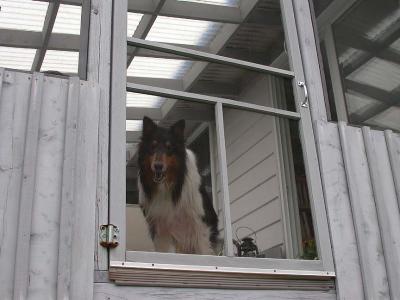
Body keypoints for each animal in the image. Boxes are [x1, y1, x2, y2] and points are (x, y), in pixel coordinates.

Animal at [138, 116, 219, 254]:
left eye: (169, 147)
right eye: (153, 146)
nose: (158, 166)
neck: (169, 185)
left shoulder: (200, 221)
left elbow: (203, 249)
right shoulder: (161, 227)